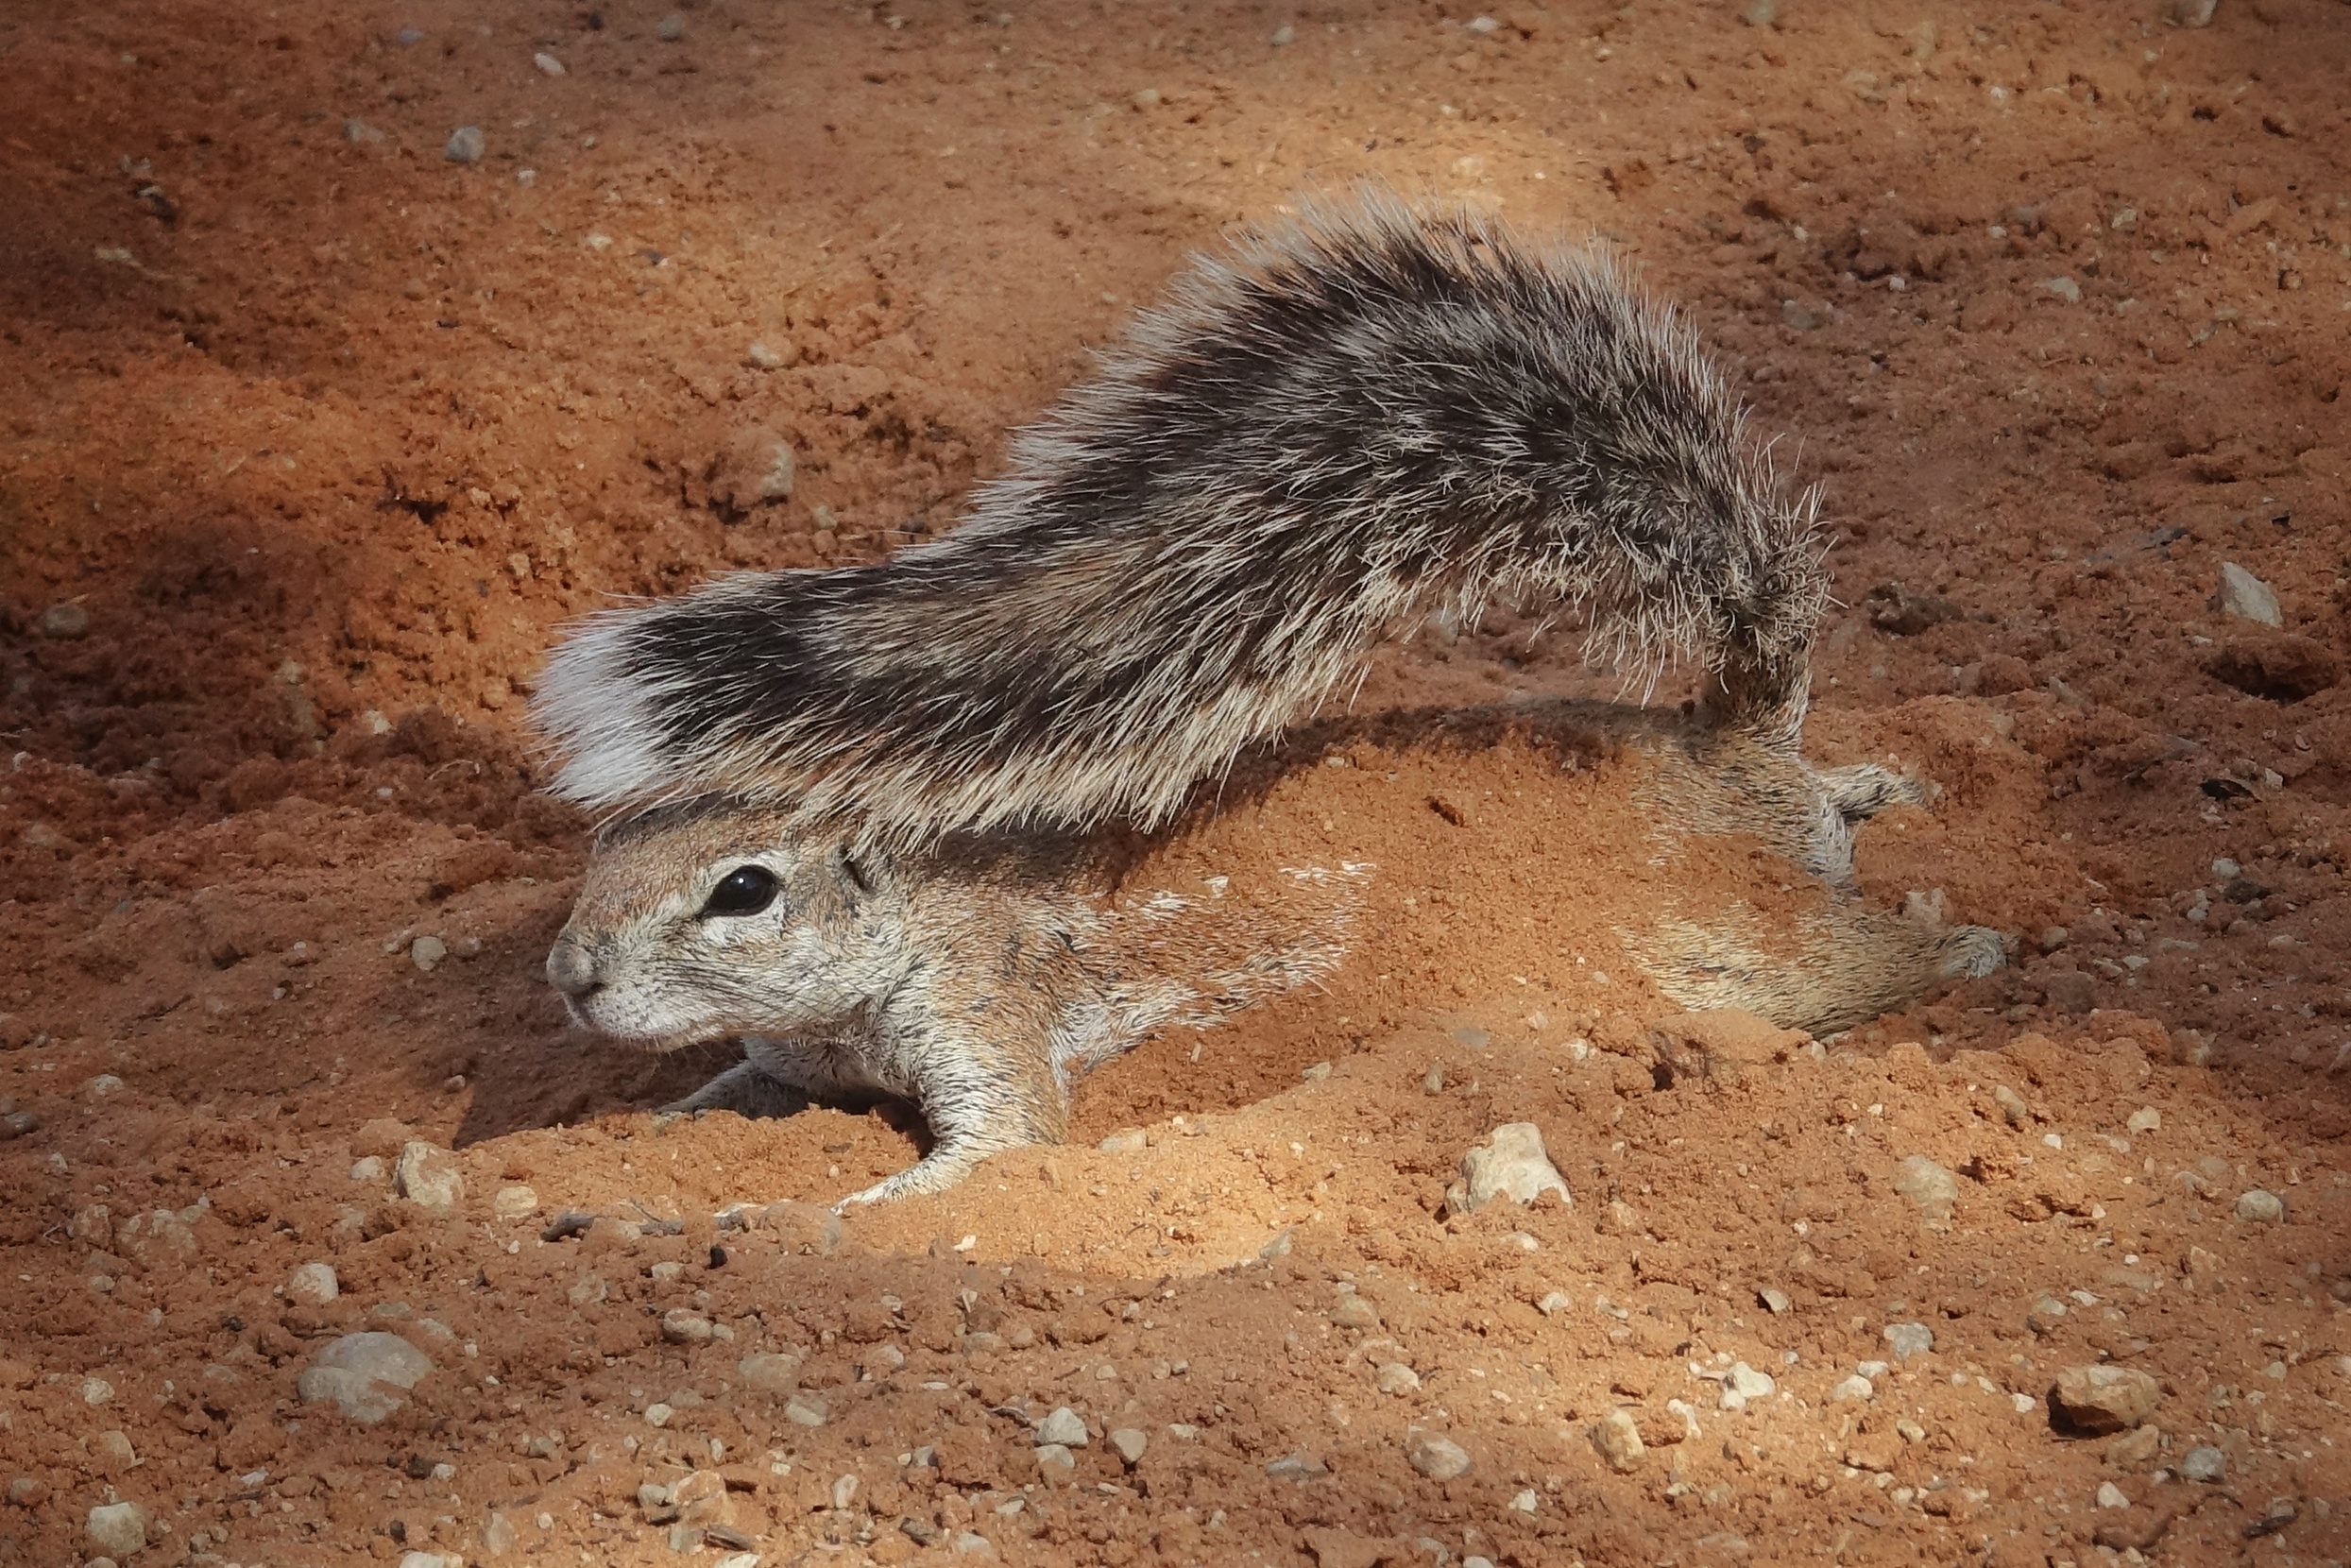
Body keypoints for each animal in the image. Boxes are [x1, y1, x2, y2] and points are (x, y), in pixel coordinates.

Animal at [533, 196, 2004, 1205]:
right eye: (608, 843)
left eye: (744, 890)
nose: (569, 979)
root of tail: (1730, 744)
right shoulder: (796, 1060)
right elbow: (719, 1094)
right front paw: (620, 1146)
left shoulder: (991, 1022)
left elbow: (991, 1160)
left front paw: (819, 1210)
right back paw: (1874, 787)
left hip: (1731, 943)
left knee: (1881, 963)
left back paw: (1975, 958)